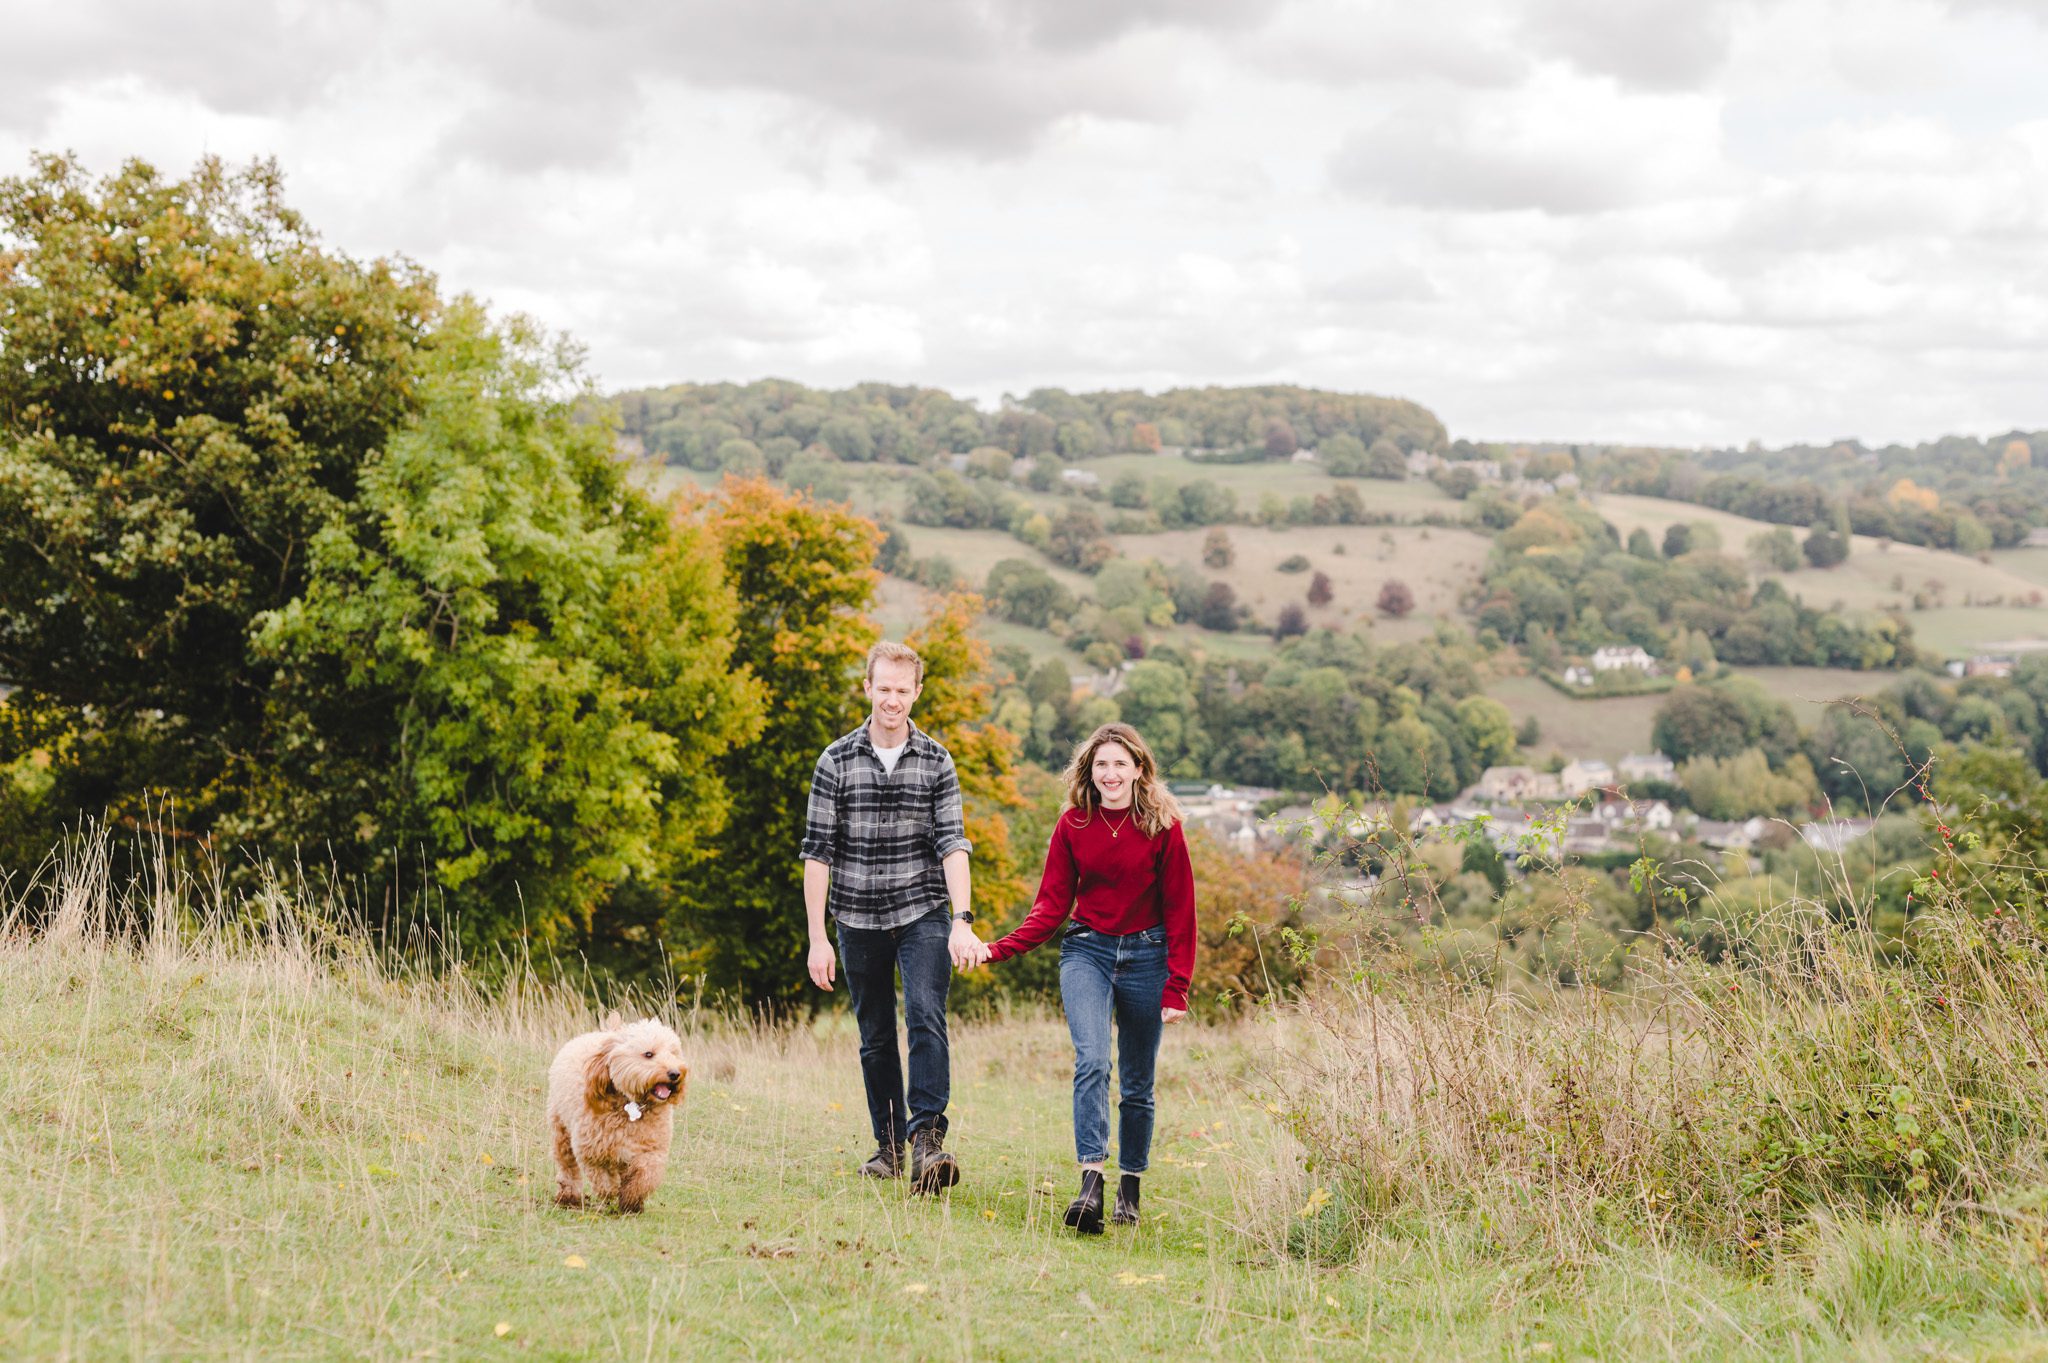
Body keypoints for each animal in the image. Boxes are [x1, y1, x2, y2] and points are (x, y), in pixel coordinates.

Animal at [544, 1006, 688, 1211]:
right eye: (648, 1054)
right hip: (561, 1131)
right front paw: (610, 1191)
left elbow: (645, 1175)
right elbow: (604, 1178)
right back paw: (569, 1195)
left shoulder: (652, 1151)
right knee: (568, 1166)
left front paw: (632, 1200)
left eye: (674, 1053)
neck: (632, 1106)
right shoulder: (592, 1150)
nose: (675, 1073)